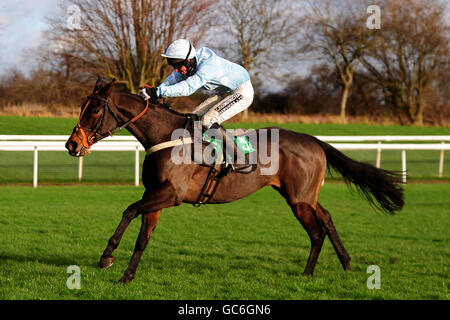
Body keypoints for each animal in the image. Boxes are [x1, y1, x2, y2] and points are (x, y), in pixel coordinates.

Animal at [64, 79, 404, 284]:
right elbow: (142, 237)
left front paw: (107, 257)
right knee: (328, 218)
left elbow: (129, 211)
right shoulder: (156, 194)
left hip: (299, 200)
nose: (71, 145)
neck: (165, 137)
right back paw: (345, 263)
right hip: (303, 196)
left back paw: (307, 273)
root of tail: (313, 140)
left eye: (94, 109)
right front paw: (126, 276)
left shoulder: (171, 194)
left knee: (316, 231)